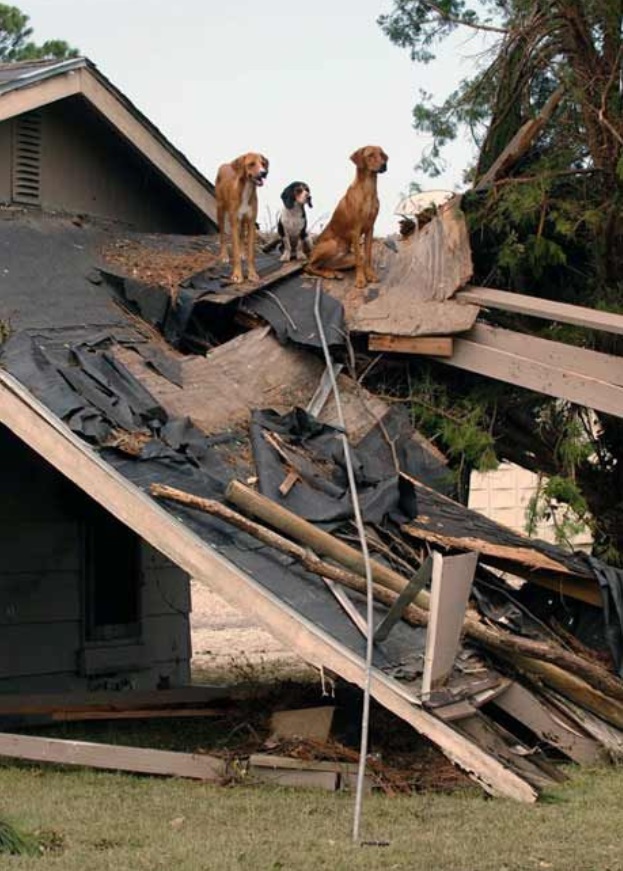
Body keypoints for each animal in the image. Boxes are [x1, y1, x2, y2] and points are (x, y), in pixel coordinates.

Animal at [216, 152, 270, 282]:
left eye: (263, 163)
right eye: (251, 164)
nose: (264, 172)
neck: (246, 190)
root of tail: (225, 164)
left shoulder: (251, 223)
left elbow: (251, 254)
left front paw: (252, 274)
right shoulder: (234, 223)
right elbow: (234, 251)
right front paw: (237, 275)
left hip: (243, 220)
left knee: (241, 235)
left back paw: (242, 253)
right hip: (220, 211)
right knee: (222, 235)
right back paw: (224, 255)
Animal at [306, 146, 388, 290]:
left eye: (382, 155)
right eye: (370, 155)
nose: (384, 165)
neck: (368, 189)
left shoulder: (370, 228)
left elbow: (367, 255)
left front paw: (370, 275)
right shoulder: (356, 230)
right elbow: (360, 261)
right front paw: (360, 280)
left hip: (344, 258)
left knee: (324, 265)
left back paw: (334, 273)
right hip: (331, 244)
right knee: (309, 267)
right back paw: (328, 274)